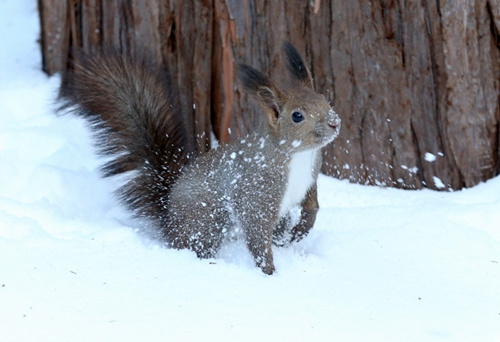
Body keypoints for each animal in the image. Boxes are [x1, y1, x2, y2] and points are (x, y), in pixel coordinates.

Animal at [57, 42, 340, 276]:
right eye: (297, 116)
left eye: (326, 100)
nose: (334, 122)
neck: (299, 155)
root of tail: (169, 221)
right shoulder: (256, 191)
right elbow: (257, 234)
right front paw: (269, 272)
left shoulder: (310, 178)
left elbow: (312, 205)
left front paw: (301, 231)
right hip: (207, 221)